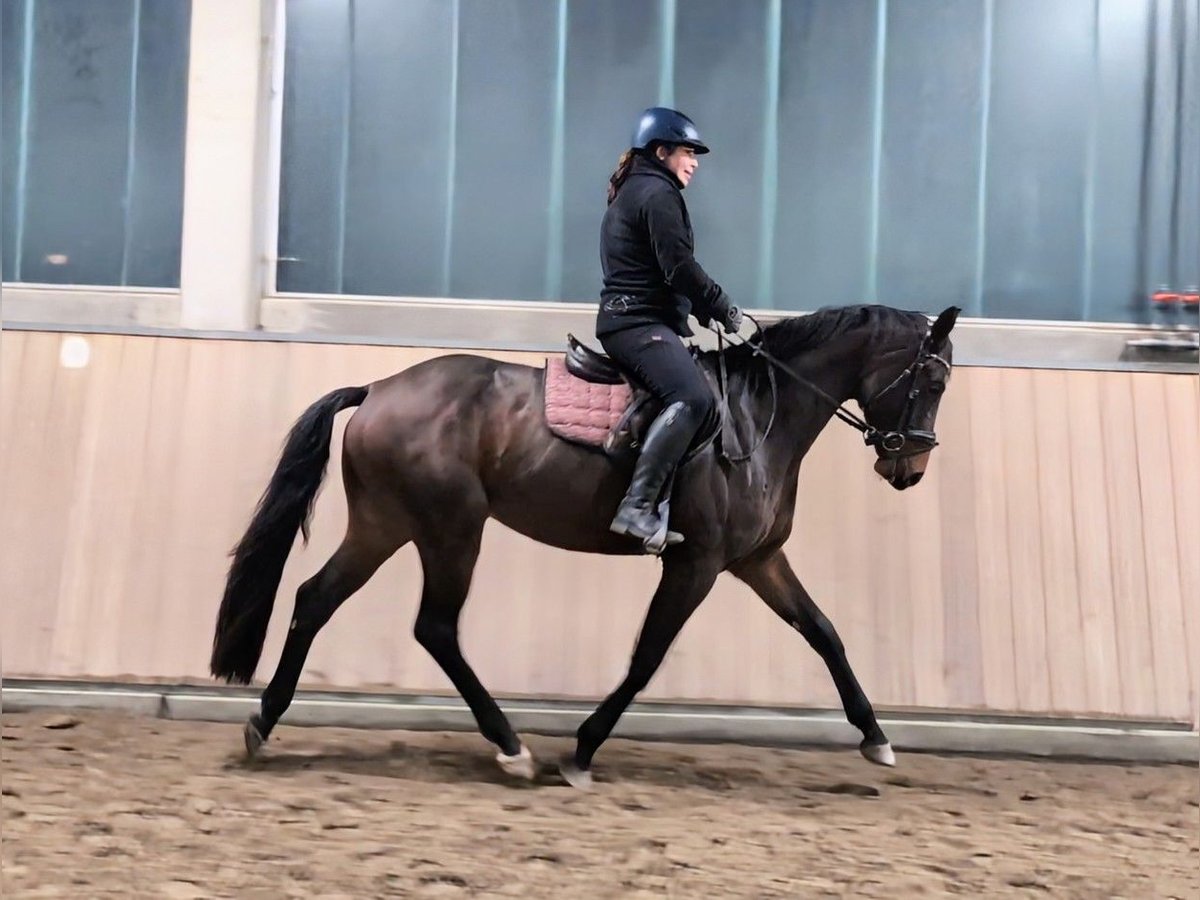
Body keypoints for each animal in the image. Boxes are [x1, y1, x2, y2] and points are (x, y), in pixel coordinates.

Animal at [206, 303, 955, 787]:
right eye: (933, 379)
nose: (911, 469)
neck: (758, 417)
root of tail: (379, 389)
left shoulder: (756, 561)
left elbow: (824, 632)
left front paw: (877, 739)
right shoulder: (698, 563)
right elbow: (647, 656)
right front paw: (583, 750)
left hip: (386, 522)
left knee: (315, 599)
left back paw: (263, 726)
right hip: (451, 527)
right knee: (435, 627)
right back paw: (512, 749)